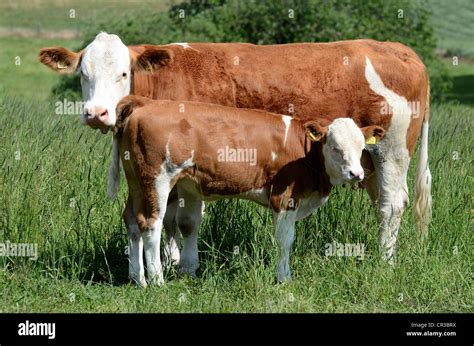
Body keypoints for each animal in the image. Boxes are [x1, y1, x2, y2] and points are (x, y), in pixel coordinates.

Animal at [107, 96, 386, 286]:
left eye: (361, 147)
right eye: (336, 147)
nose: (357, 174)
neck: (305, 152)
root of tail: (144, 103)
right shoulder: (285, 198)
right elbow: (285, 241)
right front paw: (284, 278)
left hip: (137, 182)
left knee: (131, 220)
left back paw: (137, 277)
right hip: (157, 179)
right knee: (150, 223)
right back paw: (156, 280)